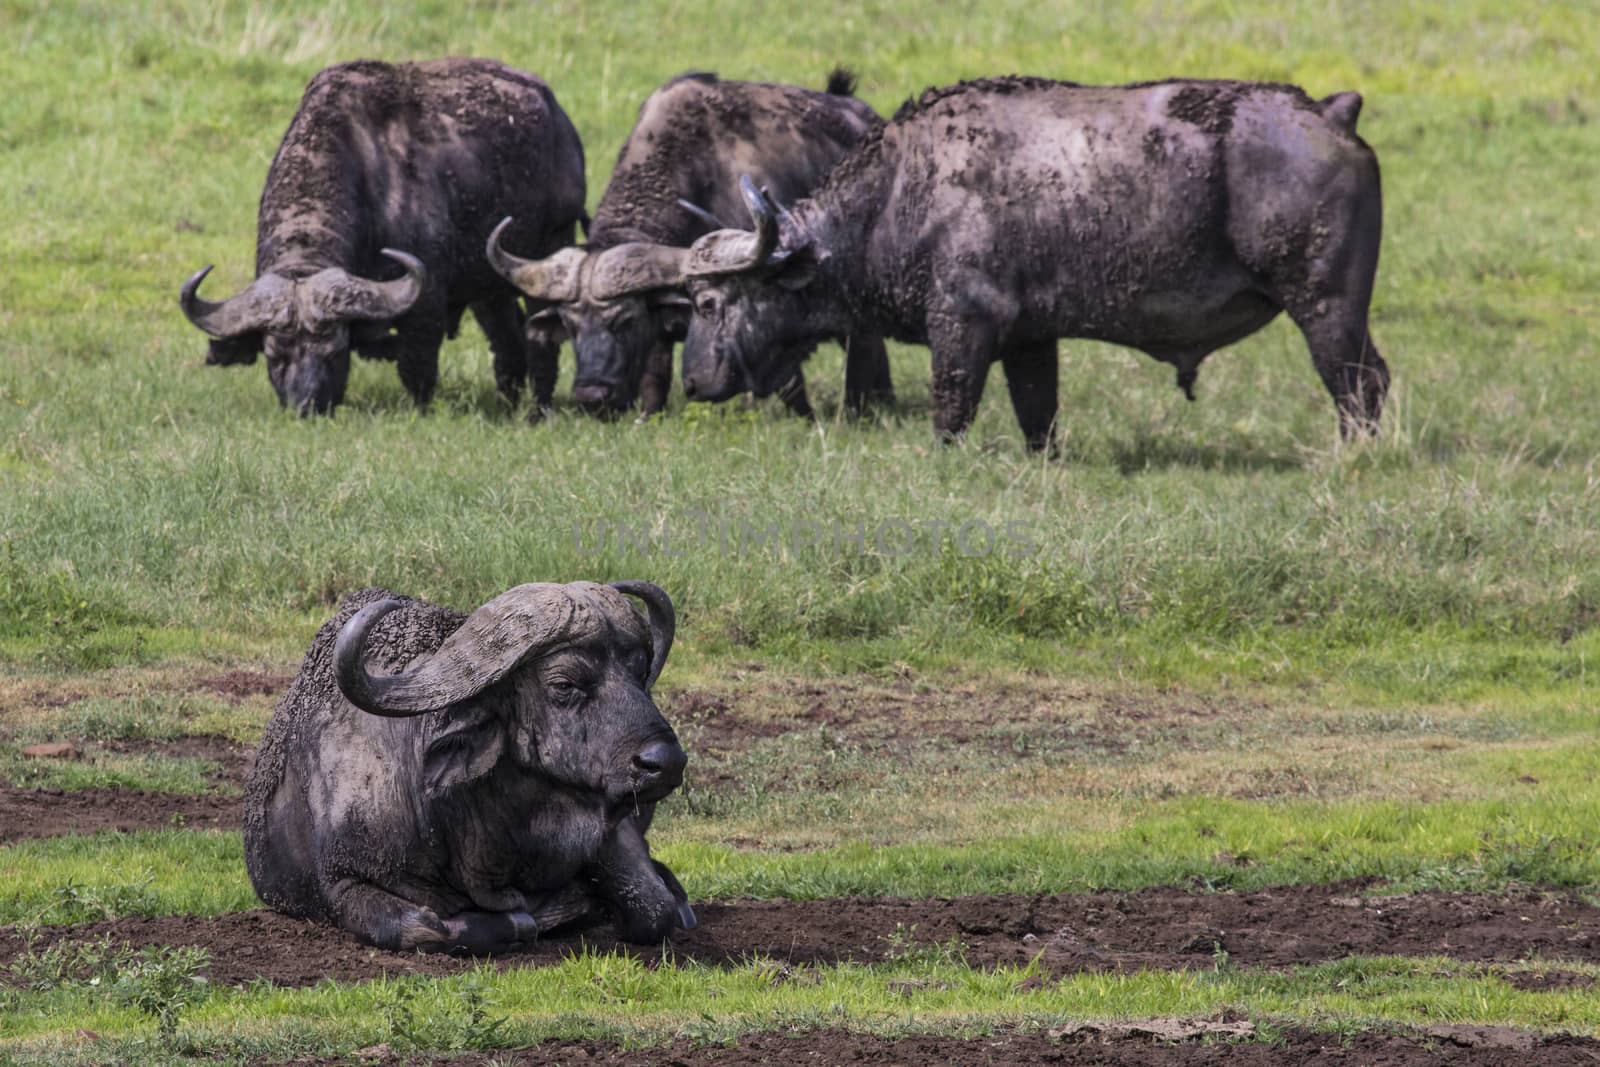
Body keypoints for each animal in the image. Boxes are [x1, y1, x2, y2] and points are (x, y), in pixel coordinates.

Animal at [178, 57, 588, 415]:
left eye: (335, 352)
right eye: (275, 354)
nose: (306, 406)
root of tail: (557, 115)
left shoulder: (425, 302)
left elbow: (417, 366)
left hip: (550, 244)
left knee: (539, 334)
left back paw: (539, 409)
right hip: (490, 281)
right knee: (507, 340)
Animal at [240, 579, 691, 953]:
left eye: (639, 673)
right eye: (565, 684)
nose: (666, 762)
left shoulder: (612, 834)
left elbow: (655, 909)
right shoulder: (342, 880)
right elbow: (420, 927)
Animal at [486, 68, 896, 419]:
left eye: (625, 320)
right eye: (570, 327)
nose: (592, 395)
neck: (694, 170)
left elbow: (786, 377)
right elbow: (656, 371)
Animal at [672, 75, 1388, 451]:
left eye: (709, 302)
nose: (692, 383)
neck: (899, 192)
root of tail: (1330, 113)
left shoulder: (962, 328)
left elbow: (951, 409)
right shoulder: (1030, 343)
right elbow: (1038, 417)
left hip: (1327, 310)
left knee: (1360, 384)